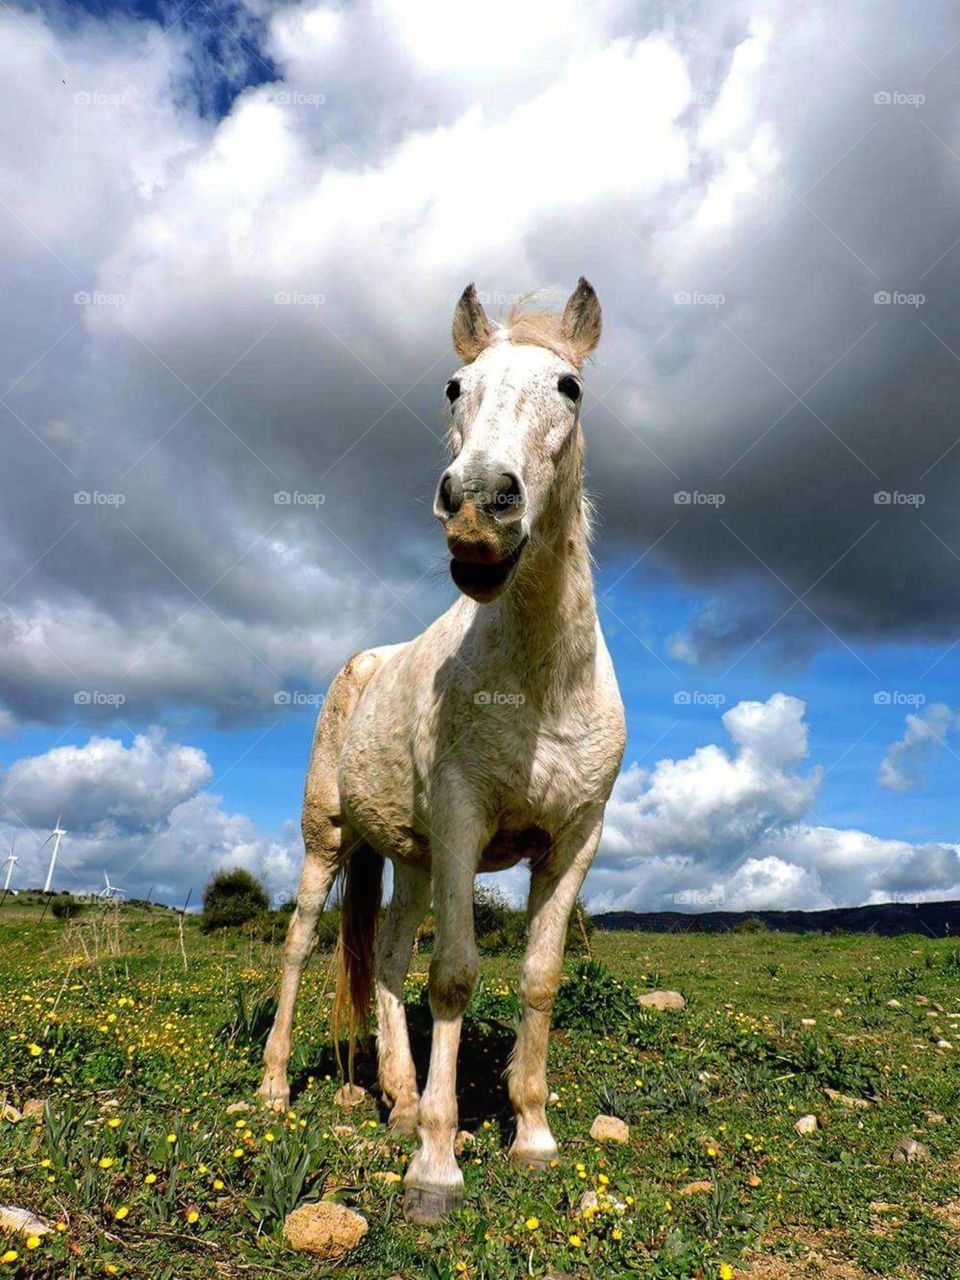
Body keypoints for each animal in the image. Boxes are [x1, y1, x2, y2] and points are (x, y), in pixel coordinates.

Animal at [258, 278, 626, 1224]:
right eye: (455, 388)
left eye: (570, 387)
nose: (476, 505)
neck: (540, 688)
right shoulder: (464, 822)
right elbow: (454, 975)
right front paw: (436, 1163)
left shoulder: (573, 842)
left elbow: (538, 978)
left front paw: (531, 1137)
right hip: (330, 844)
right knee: (301, 946)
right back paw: (274, 1089)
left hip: (412, 859)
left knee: (385, 958)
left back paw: (393, 1096)